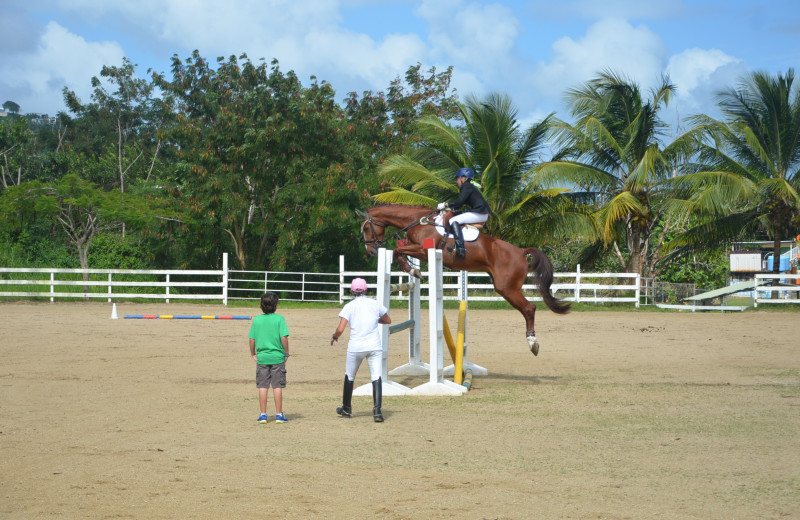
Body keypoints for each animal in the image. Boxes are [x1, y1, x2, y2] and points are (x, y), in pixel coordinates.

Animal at [356, 203, 568, 354]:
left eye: (366, 229)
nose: (371, 251)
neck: (419, 221)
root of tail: (521, 251)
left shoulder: (424, 250)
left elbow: (398, 251)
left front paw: (412, 270)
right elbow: (399, 251)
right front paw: (413, 270)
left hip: (507, 288)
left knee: (529, 308)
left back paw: (533, 343)